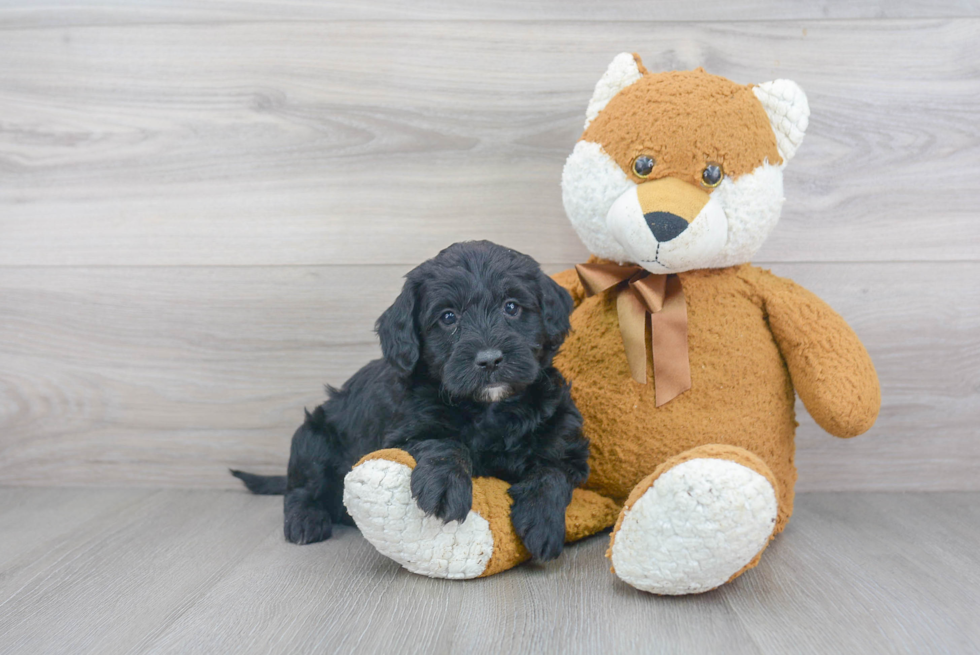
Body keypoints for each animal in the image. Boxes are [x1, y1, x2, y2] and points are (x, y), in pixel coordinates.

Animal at [234, 243, 584, 560]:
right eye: (448, 317)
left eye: (511, 307)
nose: (489, 360)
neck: (490, 408)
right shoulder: (407, 430)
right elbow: (442, 443)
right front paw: (445, 488)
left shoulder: (565, 434)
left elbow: (553, 468)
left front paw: (542, 520)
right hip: (313, 436)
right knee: (301, 486)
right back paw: (306, 520)